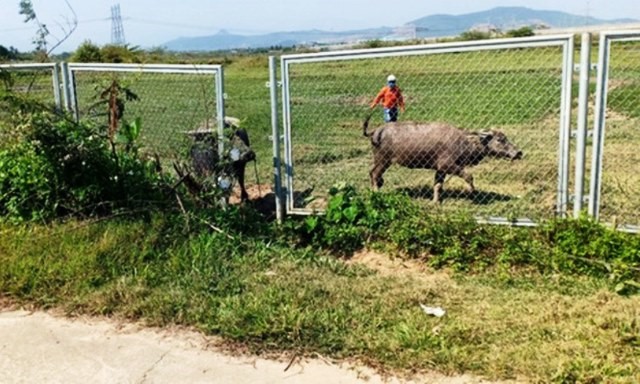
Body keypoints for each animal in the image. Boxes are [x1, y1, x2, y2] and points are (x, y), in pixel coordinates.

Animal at [362, 115, 524, 202]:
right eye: (500, 140)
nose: (518, 152)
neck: (462, 142)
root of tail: (376, 131)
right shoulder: (448, 166)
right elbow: (469, 176)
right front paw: (473, 192)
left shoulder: (440, 170)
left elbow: (438, 185)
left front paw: (435, 201)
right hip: (383, 160)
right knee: (374, 174)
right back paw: (376, 192)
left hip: (380, 160)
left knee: (373, 173)